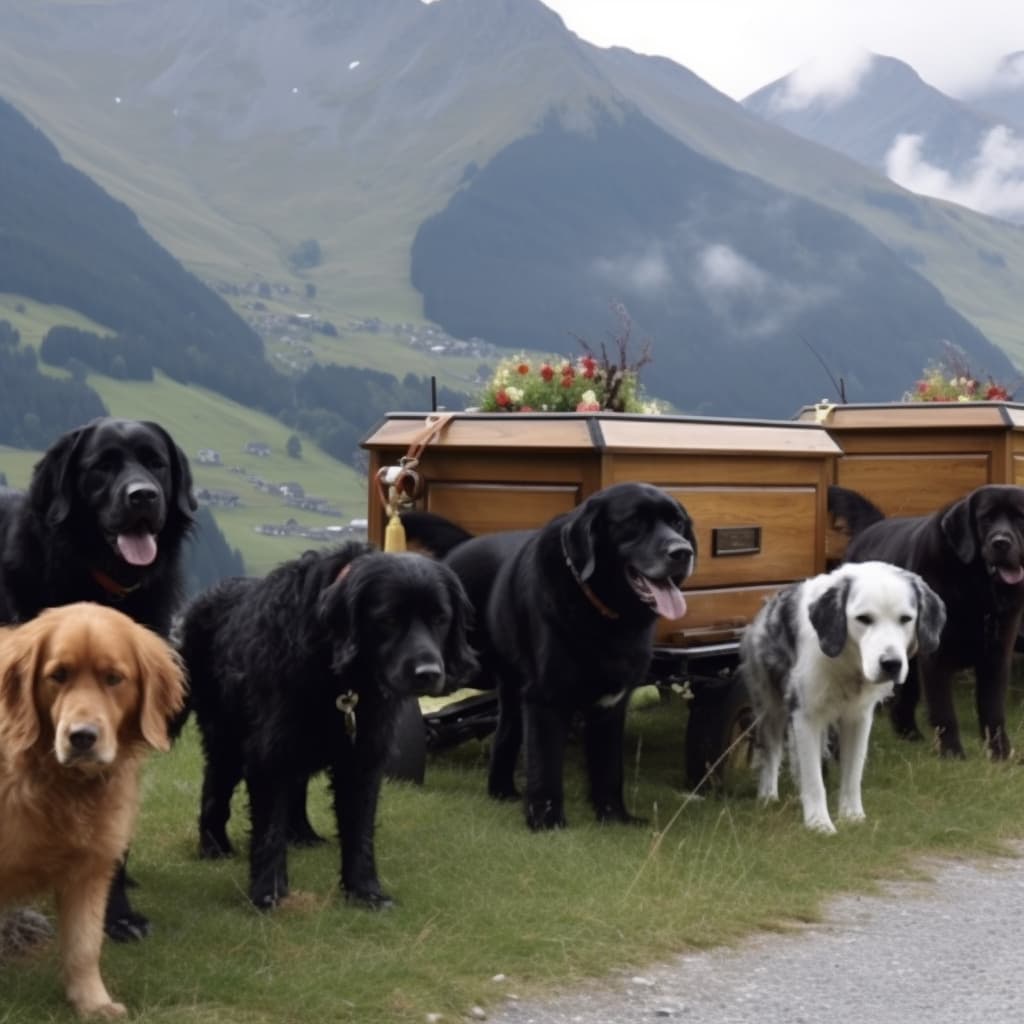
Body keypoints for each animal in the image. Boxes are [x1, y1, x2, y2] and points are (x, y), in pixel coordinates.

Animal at [175, 544, 475, 913]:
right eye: (388, 619)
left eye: (440, 618)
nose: (428, 673)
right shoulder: (270, 751)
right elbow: (269, 830)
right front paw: (268, 893)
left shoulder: (363, 755)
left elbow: (359, 830)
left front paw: (365, 891)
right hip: (227, 735)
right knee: (215, 786)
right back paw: (213, 845)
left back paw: (302, 835)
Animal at [399, 481, 696, 831]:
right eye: (634, 522)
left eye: (677, 523)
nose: (683, 552)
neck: (601, 613)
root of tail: (460, 548)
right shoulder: (546, 697)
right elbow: (546, 764)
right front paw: (547, 821)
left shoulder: (611, 703)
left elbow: (609, 768)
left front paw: (614, 817)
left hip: (512, 690)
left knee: (506, 733)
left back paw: (502, 791)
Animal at [741, 561, 946, 831]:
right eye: (864, 619)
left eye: (905, 619)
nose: (891, 663)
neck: (847, 663)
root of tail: (769, 604)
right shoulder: (805, 715)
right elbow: (813, 779)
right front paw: (819, 824)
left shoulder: (858, 718)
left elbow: (852, 774)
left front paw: (852, 817)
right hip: (770, 707)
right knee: (771, 752)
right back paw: (767, 796)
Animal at [843, 483, 1024, 757]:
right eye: (986, 518)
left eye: (1020, 518)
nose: (1001, 543)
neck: (976, 589)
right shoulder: (935, 656)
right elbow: (944, 709)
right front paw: (952, 753)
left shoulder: (996, 654)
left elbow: (993, 709)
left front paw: (999, 753)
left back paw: (910, 735)